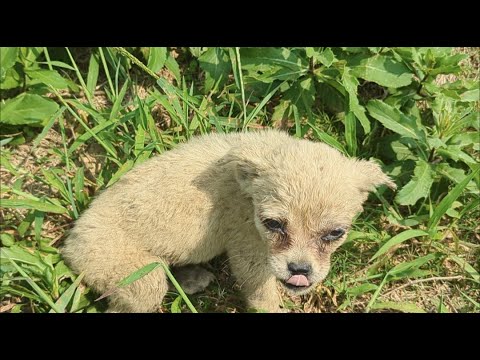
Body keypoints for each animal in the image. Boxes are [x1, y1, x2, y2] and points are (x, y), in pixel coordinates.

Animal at [62, 130, 394, 312]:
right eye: (273, 224)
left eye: (335, 233)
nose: (299, 271)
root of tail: (70, 244)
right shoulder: (249, 251)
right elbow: (263, 297)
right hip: (137, 278)